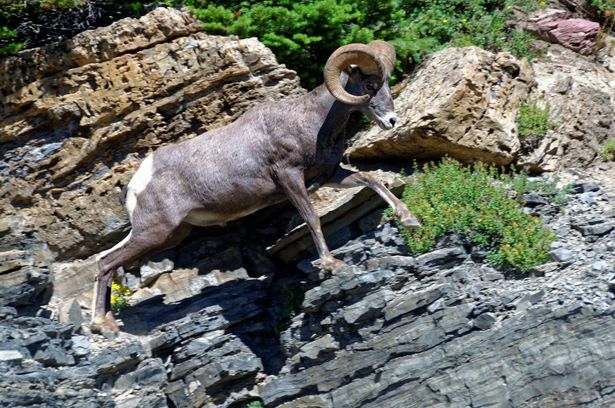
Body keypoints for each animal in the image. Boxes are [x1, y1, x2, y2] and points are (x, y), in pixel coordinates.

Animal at [92, 40, 418, 334]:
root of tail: (136, 183)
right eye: (370, 85)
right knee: (106, 262)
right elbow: (311, 217)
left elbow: (371, 179)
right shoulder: (290, 178)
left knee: (103, 259)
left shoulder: (330, 175)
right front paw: (331, 265)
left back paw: (106, 324)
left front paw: (409, 219)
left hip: (166, 235)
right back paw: (101, 326)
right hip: (155, 232)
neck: (310, 120)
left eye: (386, 83)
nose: (391, 121)